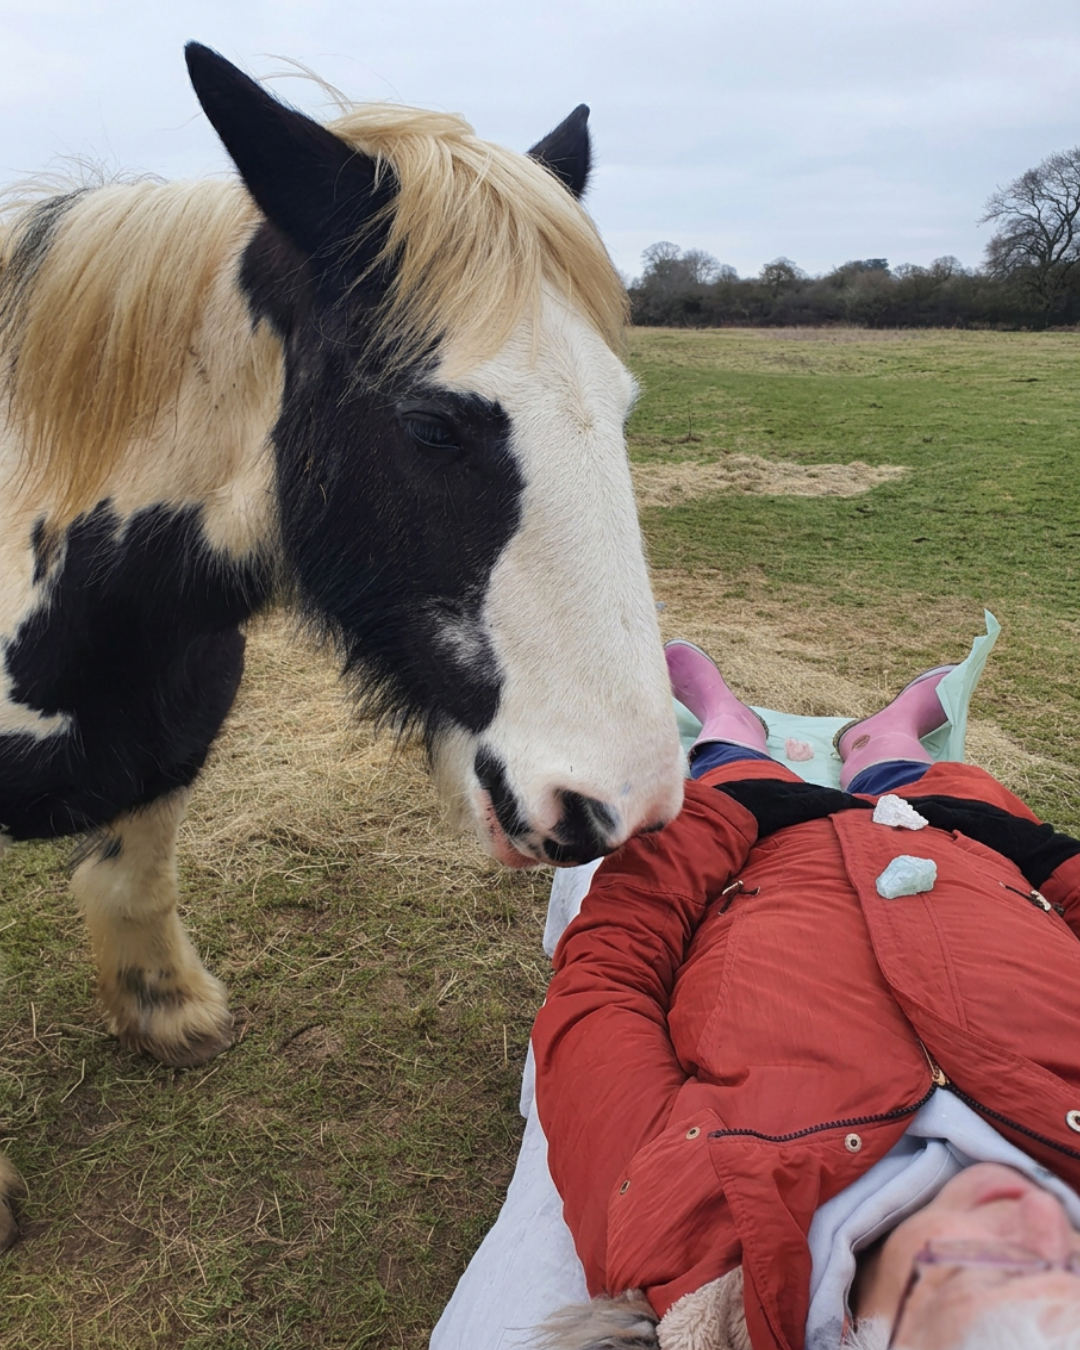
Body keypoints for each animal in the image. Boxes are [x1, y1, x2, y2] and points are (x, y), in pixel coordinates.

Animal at [0, 44, 684, 1240]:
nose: (631, 798)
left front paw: (166, 1015)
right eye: (430, 426)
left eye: (620, 407)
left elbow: (136, 876)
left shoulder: (168, 728)